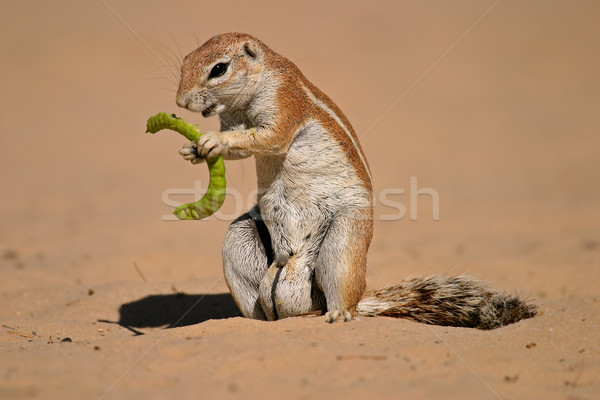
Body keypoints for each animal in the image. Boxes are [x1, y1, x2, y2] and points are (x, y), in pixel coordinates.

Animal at [176, 32, 536, 328]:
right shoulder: (233, 119)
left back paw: (338, 313)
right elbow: (240, 144)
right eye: (186, 60)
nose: (181, 102)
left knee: (340, 291)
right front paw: (192, 149)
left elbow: (267, 138)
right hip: (240, 239)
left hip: (346, 238)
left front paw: (211, 142)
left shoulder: (285, 105)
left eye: (218, 69)